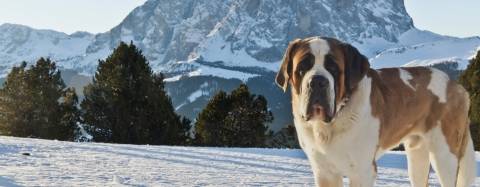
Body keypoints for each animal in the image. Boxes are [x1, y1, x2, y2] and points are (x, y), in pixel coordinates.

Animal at [276, 37, 474, 187]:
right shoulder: (324, 172)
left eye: (333, 68)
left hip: (445, 154)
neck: (332, 123)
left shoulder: (362, 171)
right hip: (417, 155)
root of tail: (456, 85)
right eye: (302, 68)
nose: (317, 81)